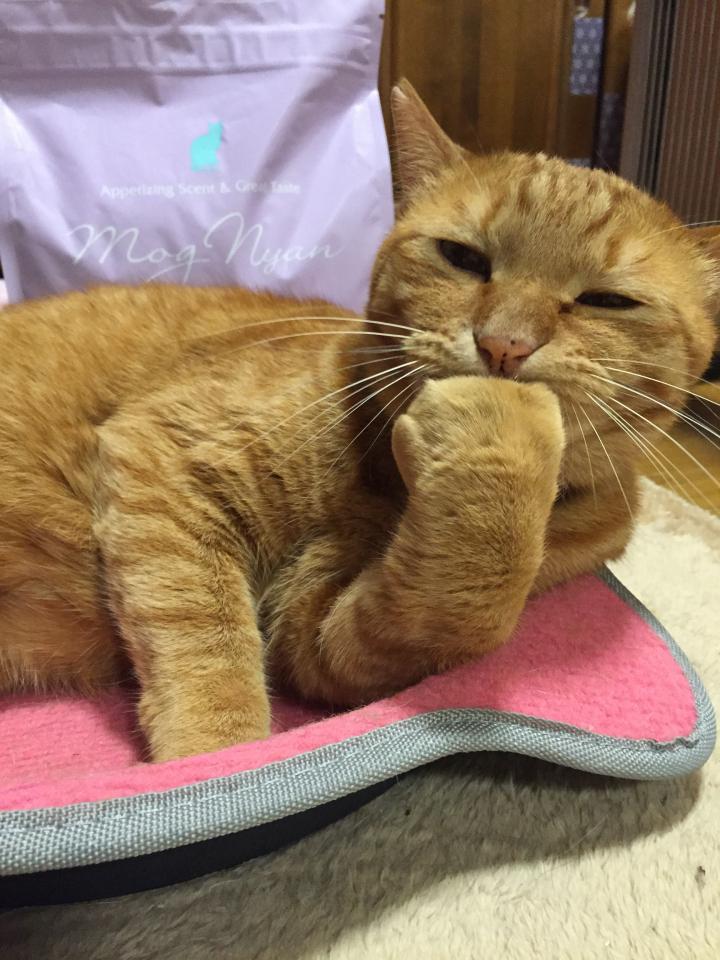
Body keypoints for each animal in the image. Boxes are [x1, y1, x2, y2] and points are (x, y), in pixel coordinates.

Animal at [0, 81, 718, 761]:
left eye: (608, 301)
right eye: (463, 258)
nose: (504, 345)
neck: (391, 481)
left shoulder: (321, 634)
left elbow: (463, 603)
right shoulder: (168, 454)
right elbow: (204, 642)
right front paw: (211, 758)